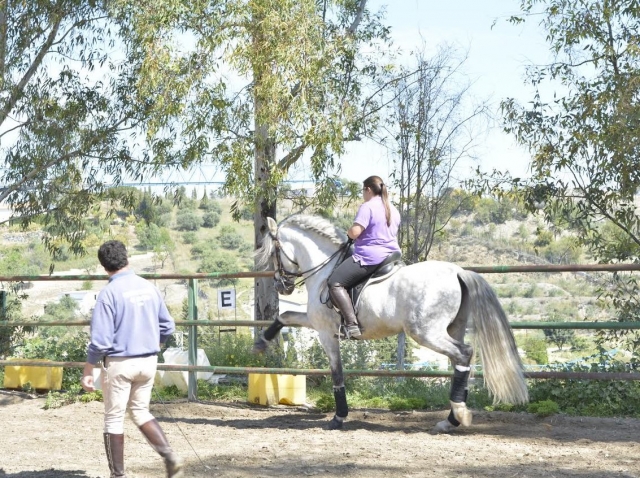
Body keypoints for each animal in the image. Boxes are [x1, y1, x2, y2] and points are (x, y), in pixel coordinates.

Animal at [253, 214, 528, 433]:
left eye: (274, 254)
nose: (281, 286)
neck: (325, 268)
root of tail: (458, 272)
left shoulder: (325, 332)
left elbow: (337, 373)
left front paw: (338, 418)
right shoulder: (314, 321)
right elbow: (285, 315)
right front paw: (261, 343)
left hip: (426, 333)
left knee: (464, 354)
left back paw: (458, 415)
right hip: (452, 329)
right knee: (460, 364)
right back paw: (451, 419)